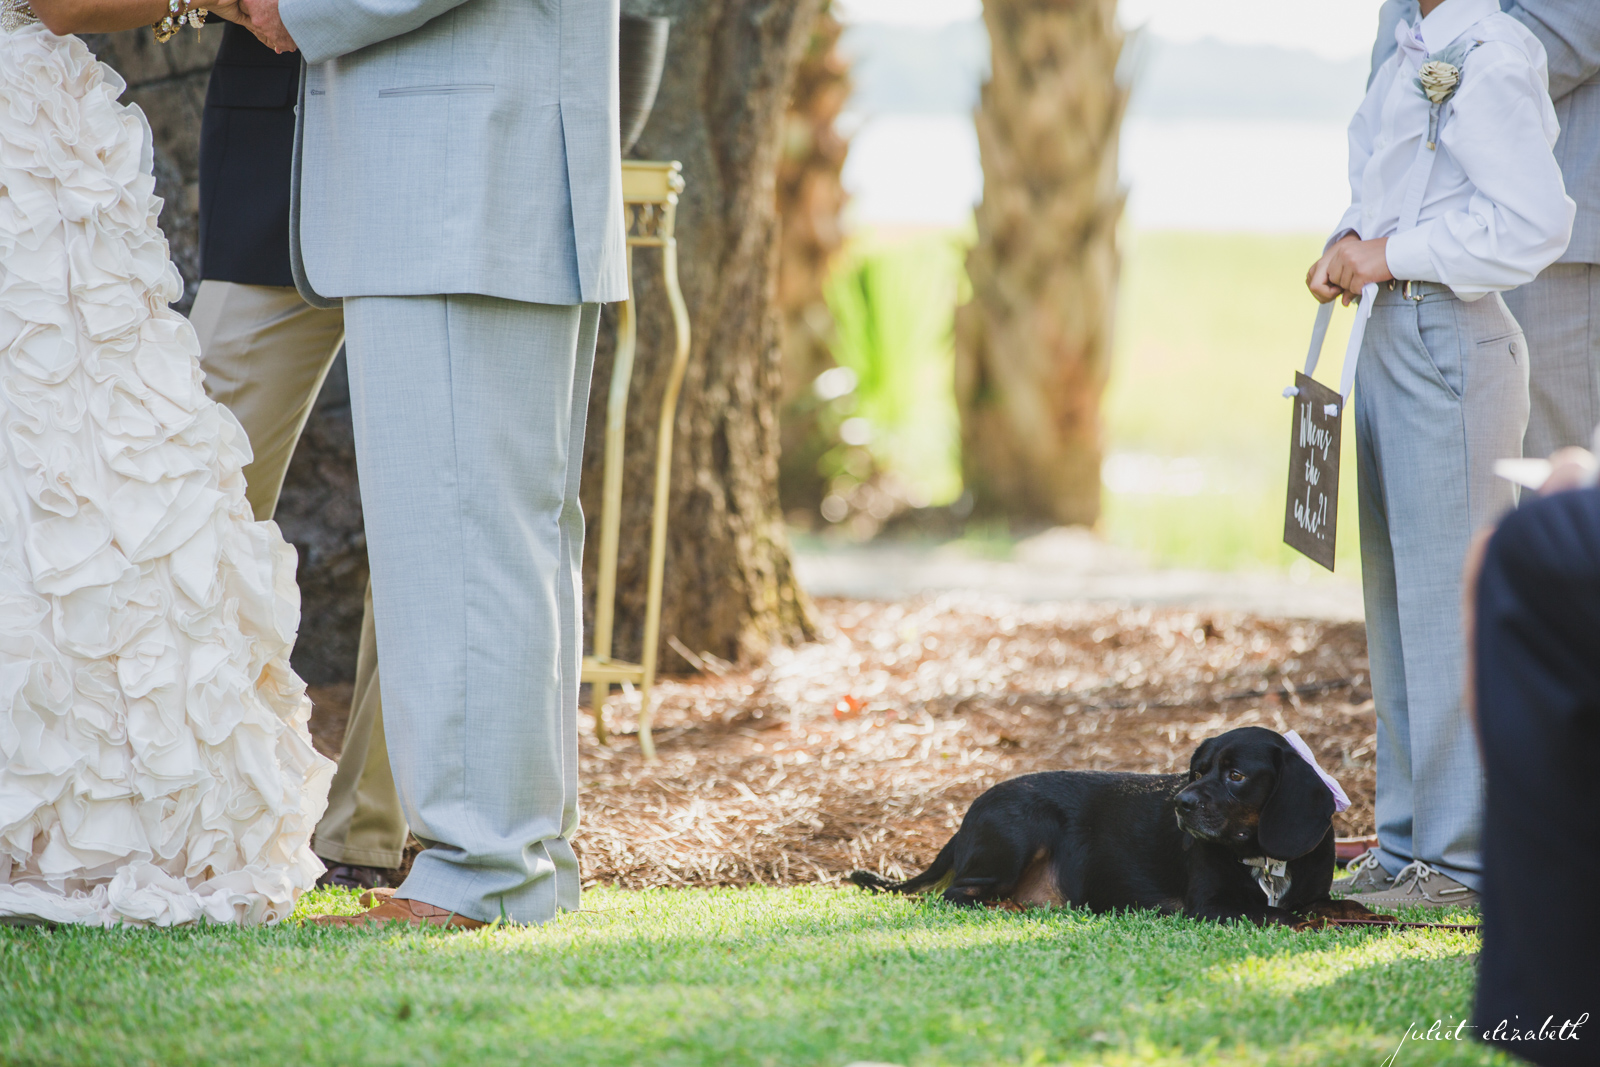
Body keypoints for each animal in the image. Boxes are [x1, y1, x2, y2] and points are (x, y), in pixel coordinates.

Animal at [851, 726, 1388, 927]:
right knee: (958, 894)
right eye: (1197, 771)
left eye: (1236, 775)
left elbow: (1345, 906)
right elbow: (1287, 916)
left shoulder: (1314, 891)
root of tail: (965, 820)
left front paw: (1368, 916)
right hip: (1021, 830)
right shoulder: (1212, 906)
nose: (1180, 804)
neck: (1264, 858)